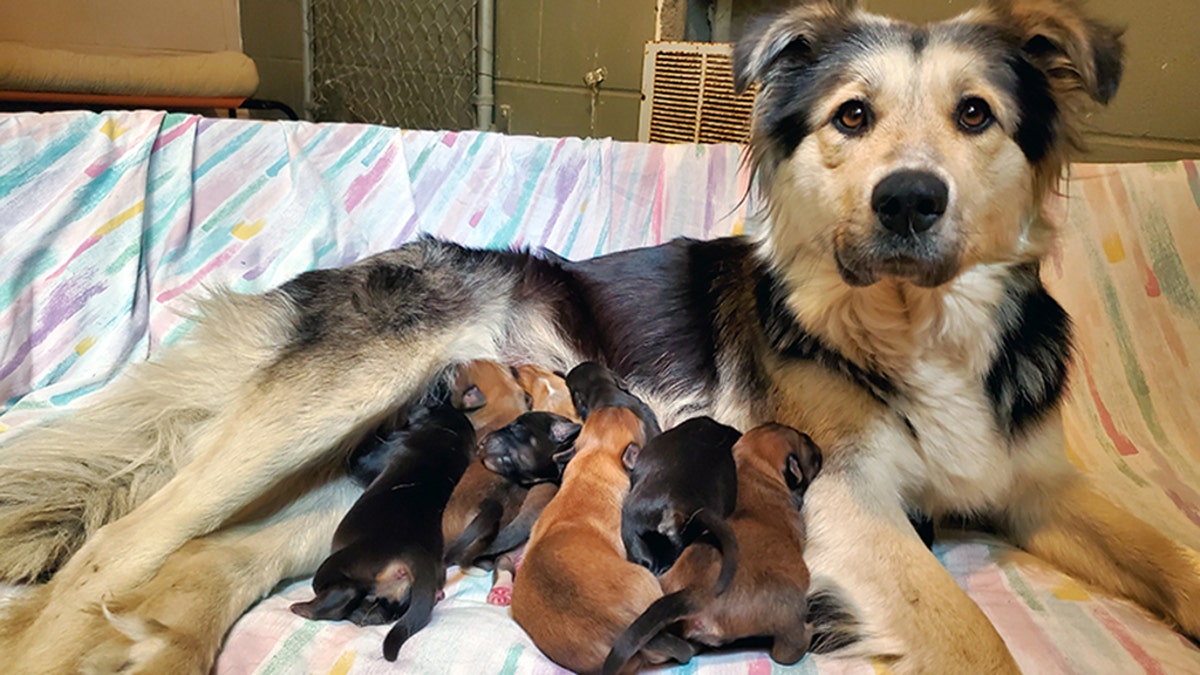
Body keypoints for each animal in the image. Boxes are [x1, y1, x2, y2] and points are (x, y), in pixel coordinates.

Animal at [288, 398, 475, 658]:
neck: (449, 440)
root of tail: (414, 556)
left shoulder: (371, 458)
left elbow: (357, 456)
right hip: (397, 598)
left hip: (338, 565)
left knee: (343, 593)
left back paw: (304, 608)